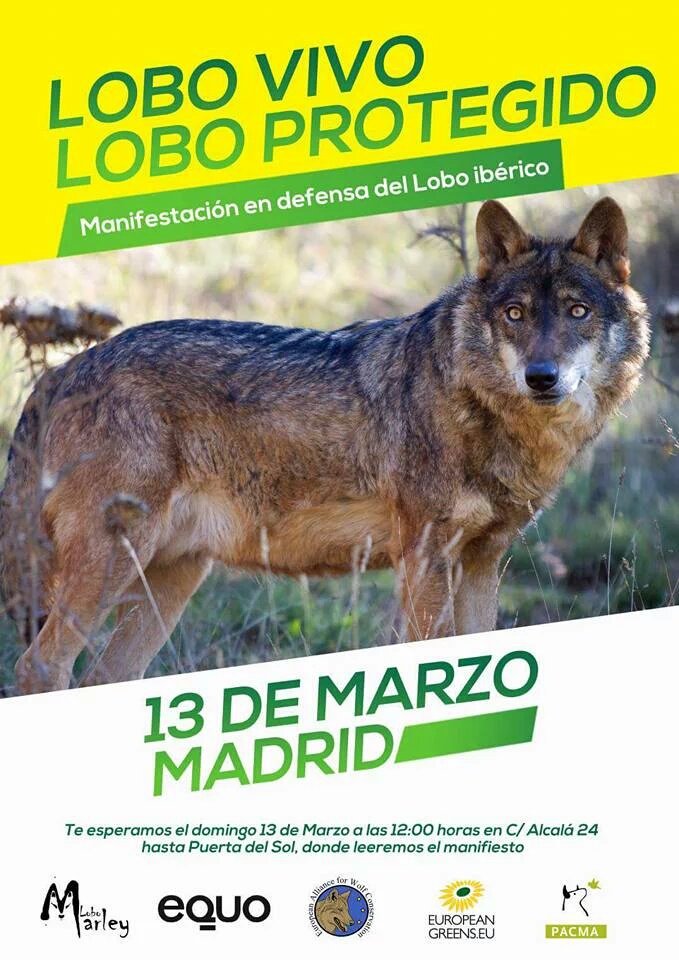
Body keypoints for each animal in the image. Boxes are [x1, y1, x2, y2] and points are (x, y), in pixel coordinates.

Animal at [0, 197, 649, 694]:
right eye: (515, 313)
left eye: (577, 311)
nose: (541, 377)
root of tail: (60, 372)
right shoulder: (425, 558)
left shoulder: (484, 561)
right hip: (111, 567)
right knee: (39, 666)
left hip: (171, 581)